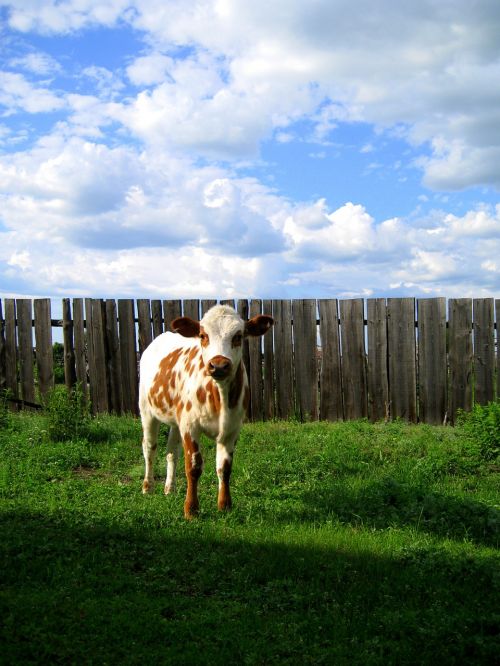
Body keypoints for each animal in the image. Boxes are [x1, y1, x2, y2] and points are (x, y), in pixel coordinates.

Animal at [139, 304, 276, 516]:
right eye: (203, 335)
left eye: (238, 336)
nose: (218, 365)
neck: (220, 397)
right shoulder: (190, 426)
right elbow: (194, 466)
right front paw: (191, 509)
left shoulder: (232, 429)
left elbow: (224, 468)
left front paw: (225, 505)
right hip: (146, 411)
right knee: (149, 447)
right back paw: (148, 486)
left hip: (176, 420)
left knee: (171, 452)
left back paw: (169, 488)